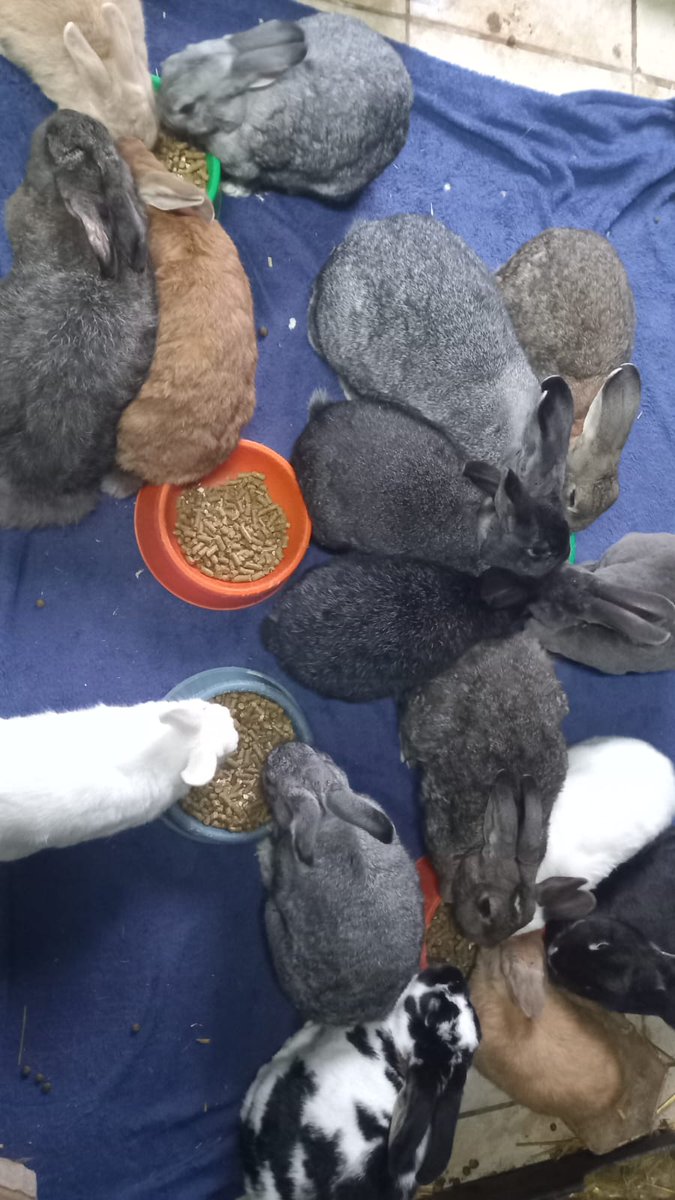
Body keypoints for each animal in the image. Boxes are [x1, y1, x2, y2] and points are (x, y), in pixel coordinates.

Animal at [158, 13, 413, 201]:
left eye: (187, 107)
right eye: (168, 64)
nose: (161, 113)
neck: (243, 105)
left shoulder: (248, 164)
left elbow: (249, 179)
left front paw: (231, 189)